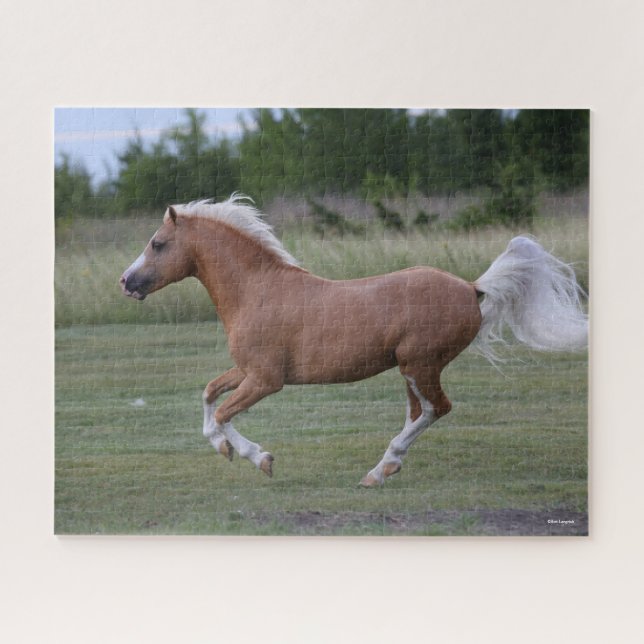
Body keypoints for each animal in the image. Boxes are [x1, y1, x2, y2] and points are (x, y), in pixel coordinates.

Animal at [120, 195, 588, 486]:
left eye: (158, 244)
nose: (126, 282)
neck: (258, 290)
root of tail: (473, 288)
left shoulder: (267, 380)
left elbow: (221, 413)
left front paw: (260, 459)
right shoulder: (247, 371)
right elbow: (209, 395)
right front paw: (225, 450)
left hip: (419, 364)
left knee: (435, 409)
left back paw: (379, 469)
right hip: (411, 370)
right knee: (421, 411)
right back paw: (383, 471)